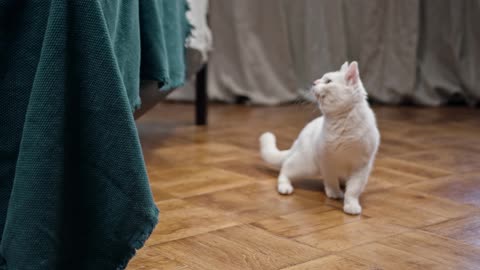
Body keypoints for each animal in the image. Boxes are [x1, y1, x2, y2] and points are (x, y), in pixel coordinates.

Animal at [258, 61, 378, 215]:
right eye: (321, 78)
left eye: (328, 81)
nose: (314, 82)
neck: (343, 122)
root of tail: (299, 138)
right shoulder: (327, 161)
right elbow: (331, 180)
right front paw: (334, 193)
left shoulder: (361, 167)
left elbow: (353, 189)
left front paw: (351, 204)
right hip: (305, 164)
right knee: (285, 169)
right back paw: (285, 187)